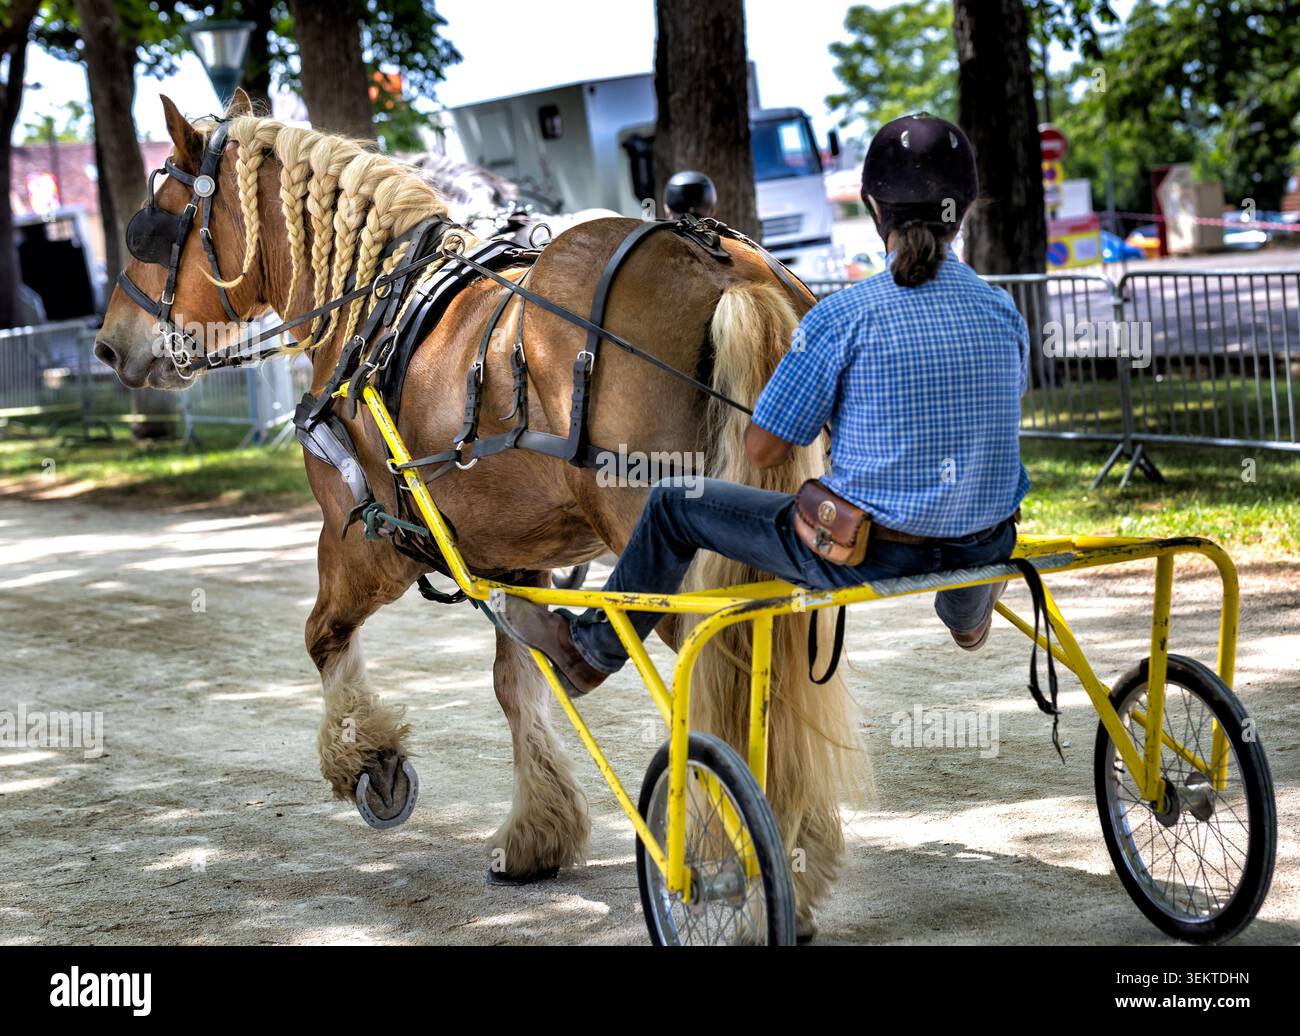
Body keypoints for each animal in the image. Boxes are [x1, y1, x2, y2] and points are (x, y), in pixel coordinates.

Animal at [93, 92, 868, 936]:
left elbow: (322, 637)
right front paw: (537, 830)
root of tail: (718, 265)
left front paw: (371, 761)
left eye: (150, 224)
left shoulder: (367, 542)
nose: (107, 346)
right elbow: (514, 682)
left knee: (727, 684)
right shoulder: (513, 552)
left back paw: (727, 862)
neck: (375, 311)